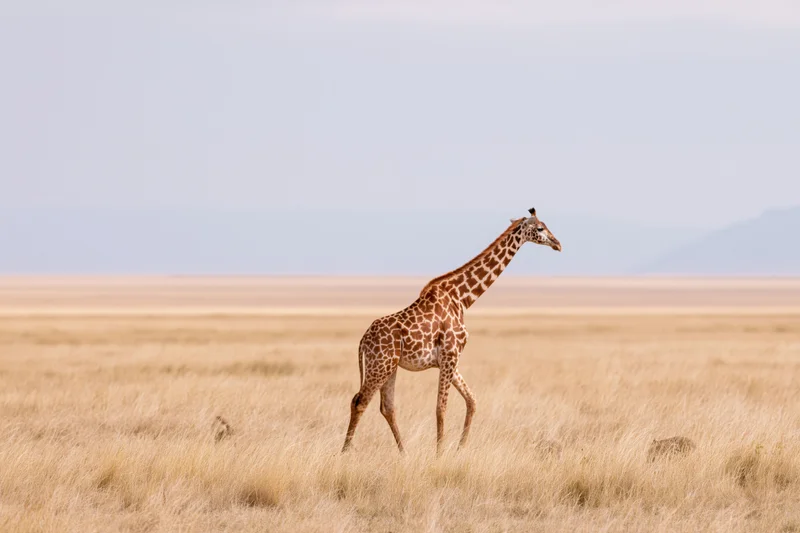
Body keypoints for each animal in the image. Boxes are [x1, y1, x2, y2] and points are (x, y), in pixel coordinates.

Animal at [341, 207, 562, 454]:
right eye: (540, 228)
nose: (558, 244)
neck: (462, 299)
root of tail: (363, 340)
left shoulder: (449, 358)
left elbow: (472, 401)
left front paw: (459, 448)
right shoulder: (450, 354)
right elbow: (441, 407)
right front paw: (439, 454)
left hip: (390, 367)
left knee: (387, 407)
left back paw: (404, 453)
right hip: (380, 365)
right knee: (359, 401)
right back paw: (345, 453)